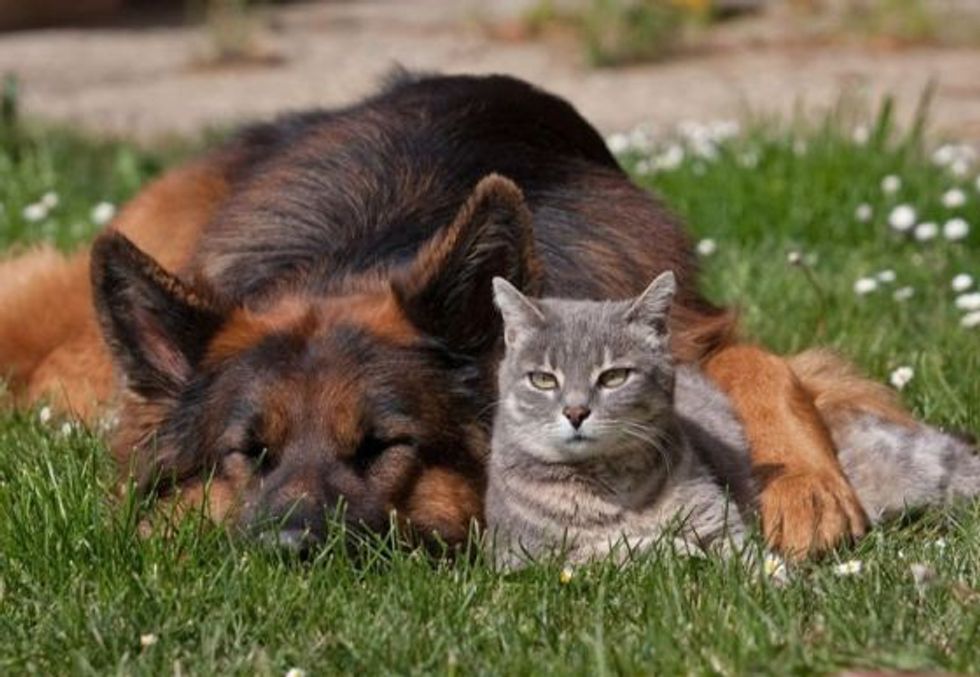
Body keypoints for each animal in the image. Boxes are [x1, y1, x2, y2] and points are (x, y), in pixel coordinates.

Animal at [0, 72, 908, 556]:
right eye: (246, 455)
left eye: (384, 446)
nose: (289, 554)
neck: (371, 246)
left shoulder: (680, 316)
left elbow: (765, 362)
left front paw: (804, 485)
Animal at [488, 272, 980, 568]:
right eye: (543, 379)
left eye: (613, 376)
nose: (575, 411)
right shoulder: (530, 557)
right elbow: (616, 547)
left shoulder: (720, 522)